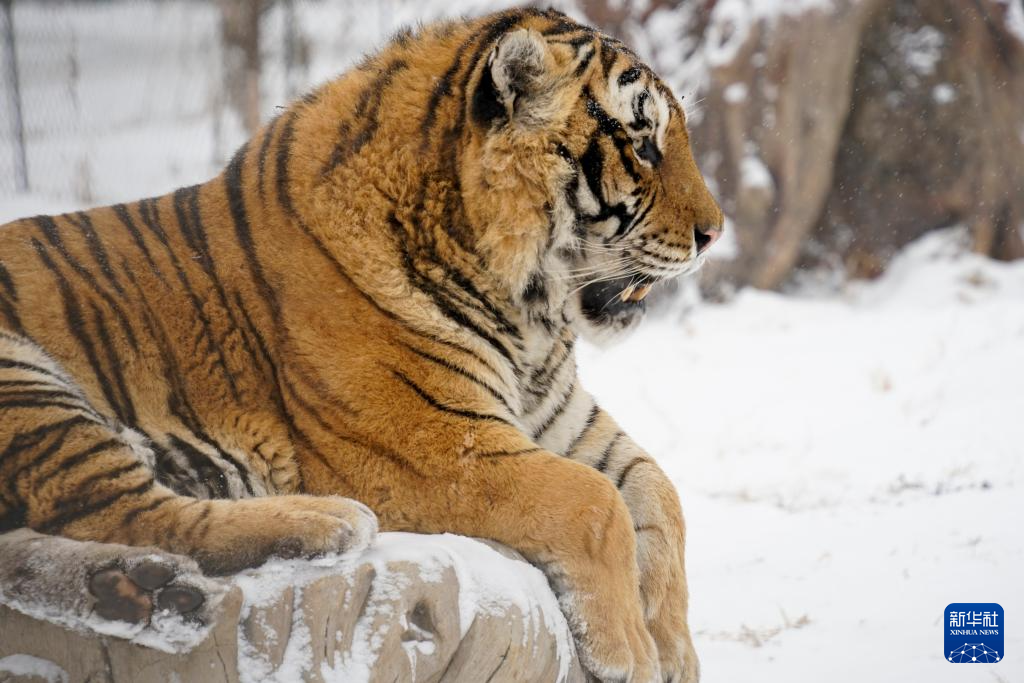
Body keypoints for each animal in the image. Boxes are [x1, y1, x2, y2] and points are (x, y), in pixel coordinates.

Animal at [0, 8, 722, 682]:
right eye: (643, 145)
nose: (714, 233)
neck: (530, 321)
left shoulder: (560, 423)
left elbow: (658, 494)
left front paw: (676, 652)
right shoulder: (432, 446)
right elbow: (595, 503)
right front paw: (632, 654)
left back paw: (138, 590)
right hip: (28, 381)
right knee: (113, 509)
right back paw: (317, 524)